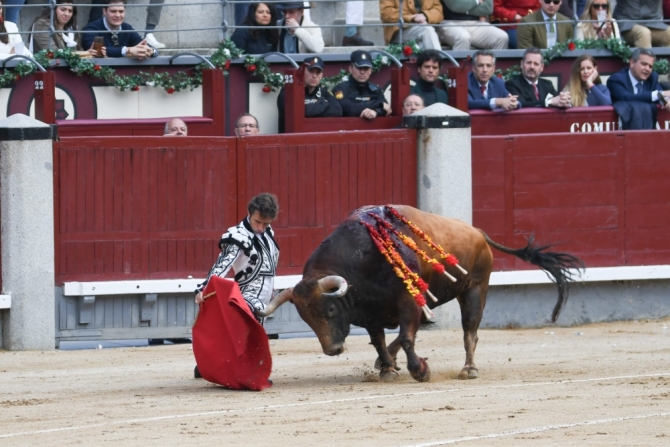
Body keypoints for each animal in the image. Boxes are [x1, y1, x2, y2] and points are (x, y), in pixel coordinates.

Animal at [260, 205, 584, 384]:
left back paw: (469, 369)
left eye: (329, 311)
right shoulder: (371, 313)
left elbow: (406, 337)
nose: (332, 350)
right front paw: (388, 369)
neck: (360, 259)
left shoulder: (408, 303)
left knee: (470, 332)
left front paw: (419, 371)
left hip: (476, 289)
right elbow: (380, 341)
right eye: (306, 319)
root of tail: (478, 232)